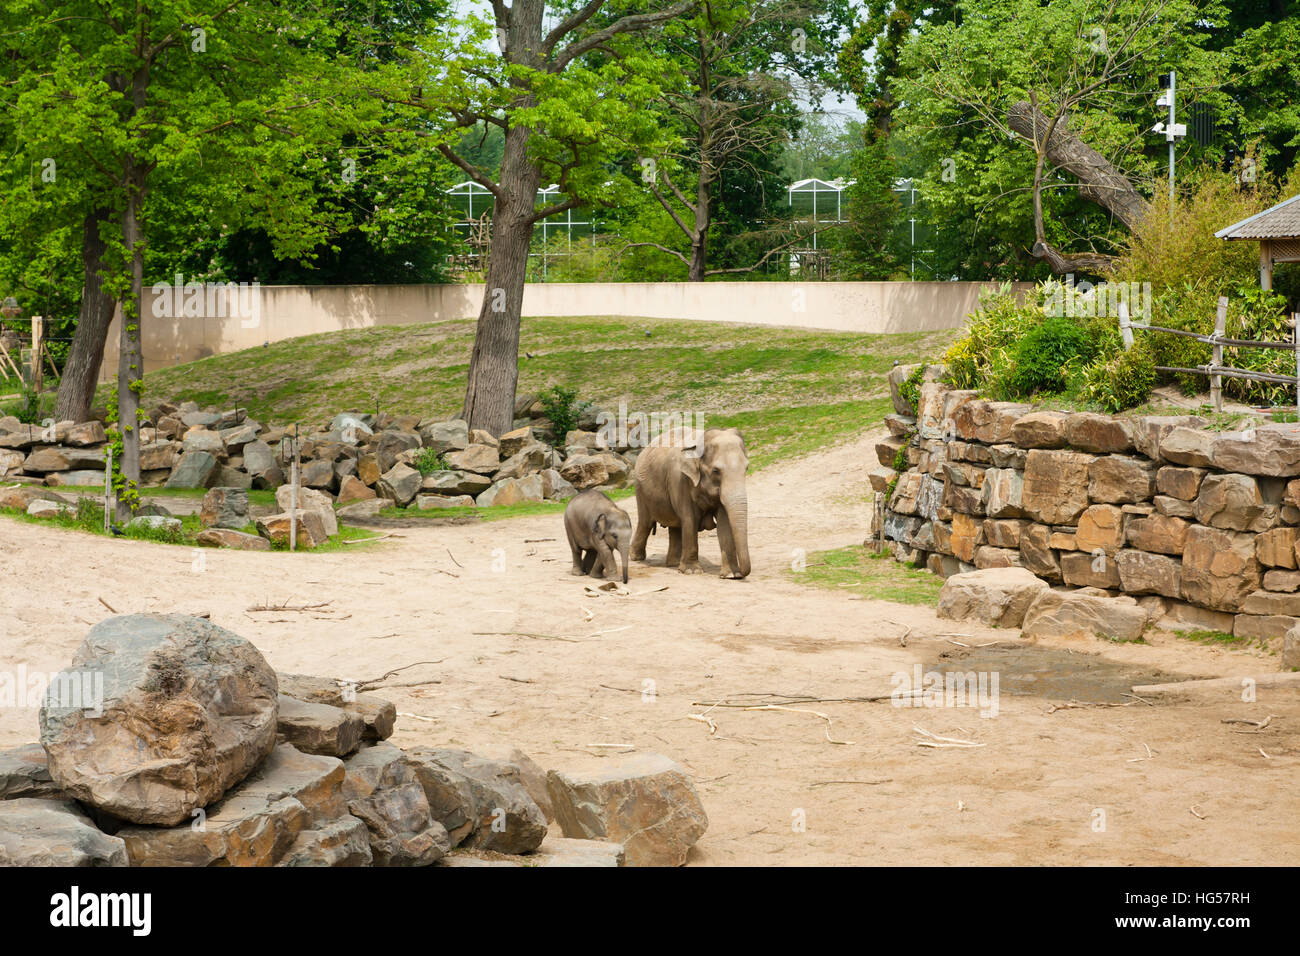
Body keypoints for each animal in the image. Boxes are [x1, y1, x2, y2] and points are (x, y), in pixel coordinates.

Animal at [631, 429, 754, 580]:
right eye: (716, 471)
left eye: (747, 468)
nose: (742, 573)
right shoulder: (680, 480)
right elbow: (690, 519)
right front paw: (692, 571)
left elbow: (724, 522)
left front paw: (732, 575)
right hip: (640, 489)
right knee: (645, 523)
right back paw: (636, 557)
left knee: (675, 527)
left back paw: (674, 563)